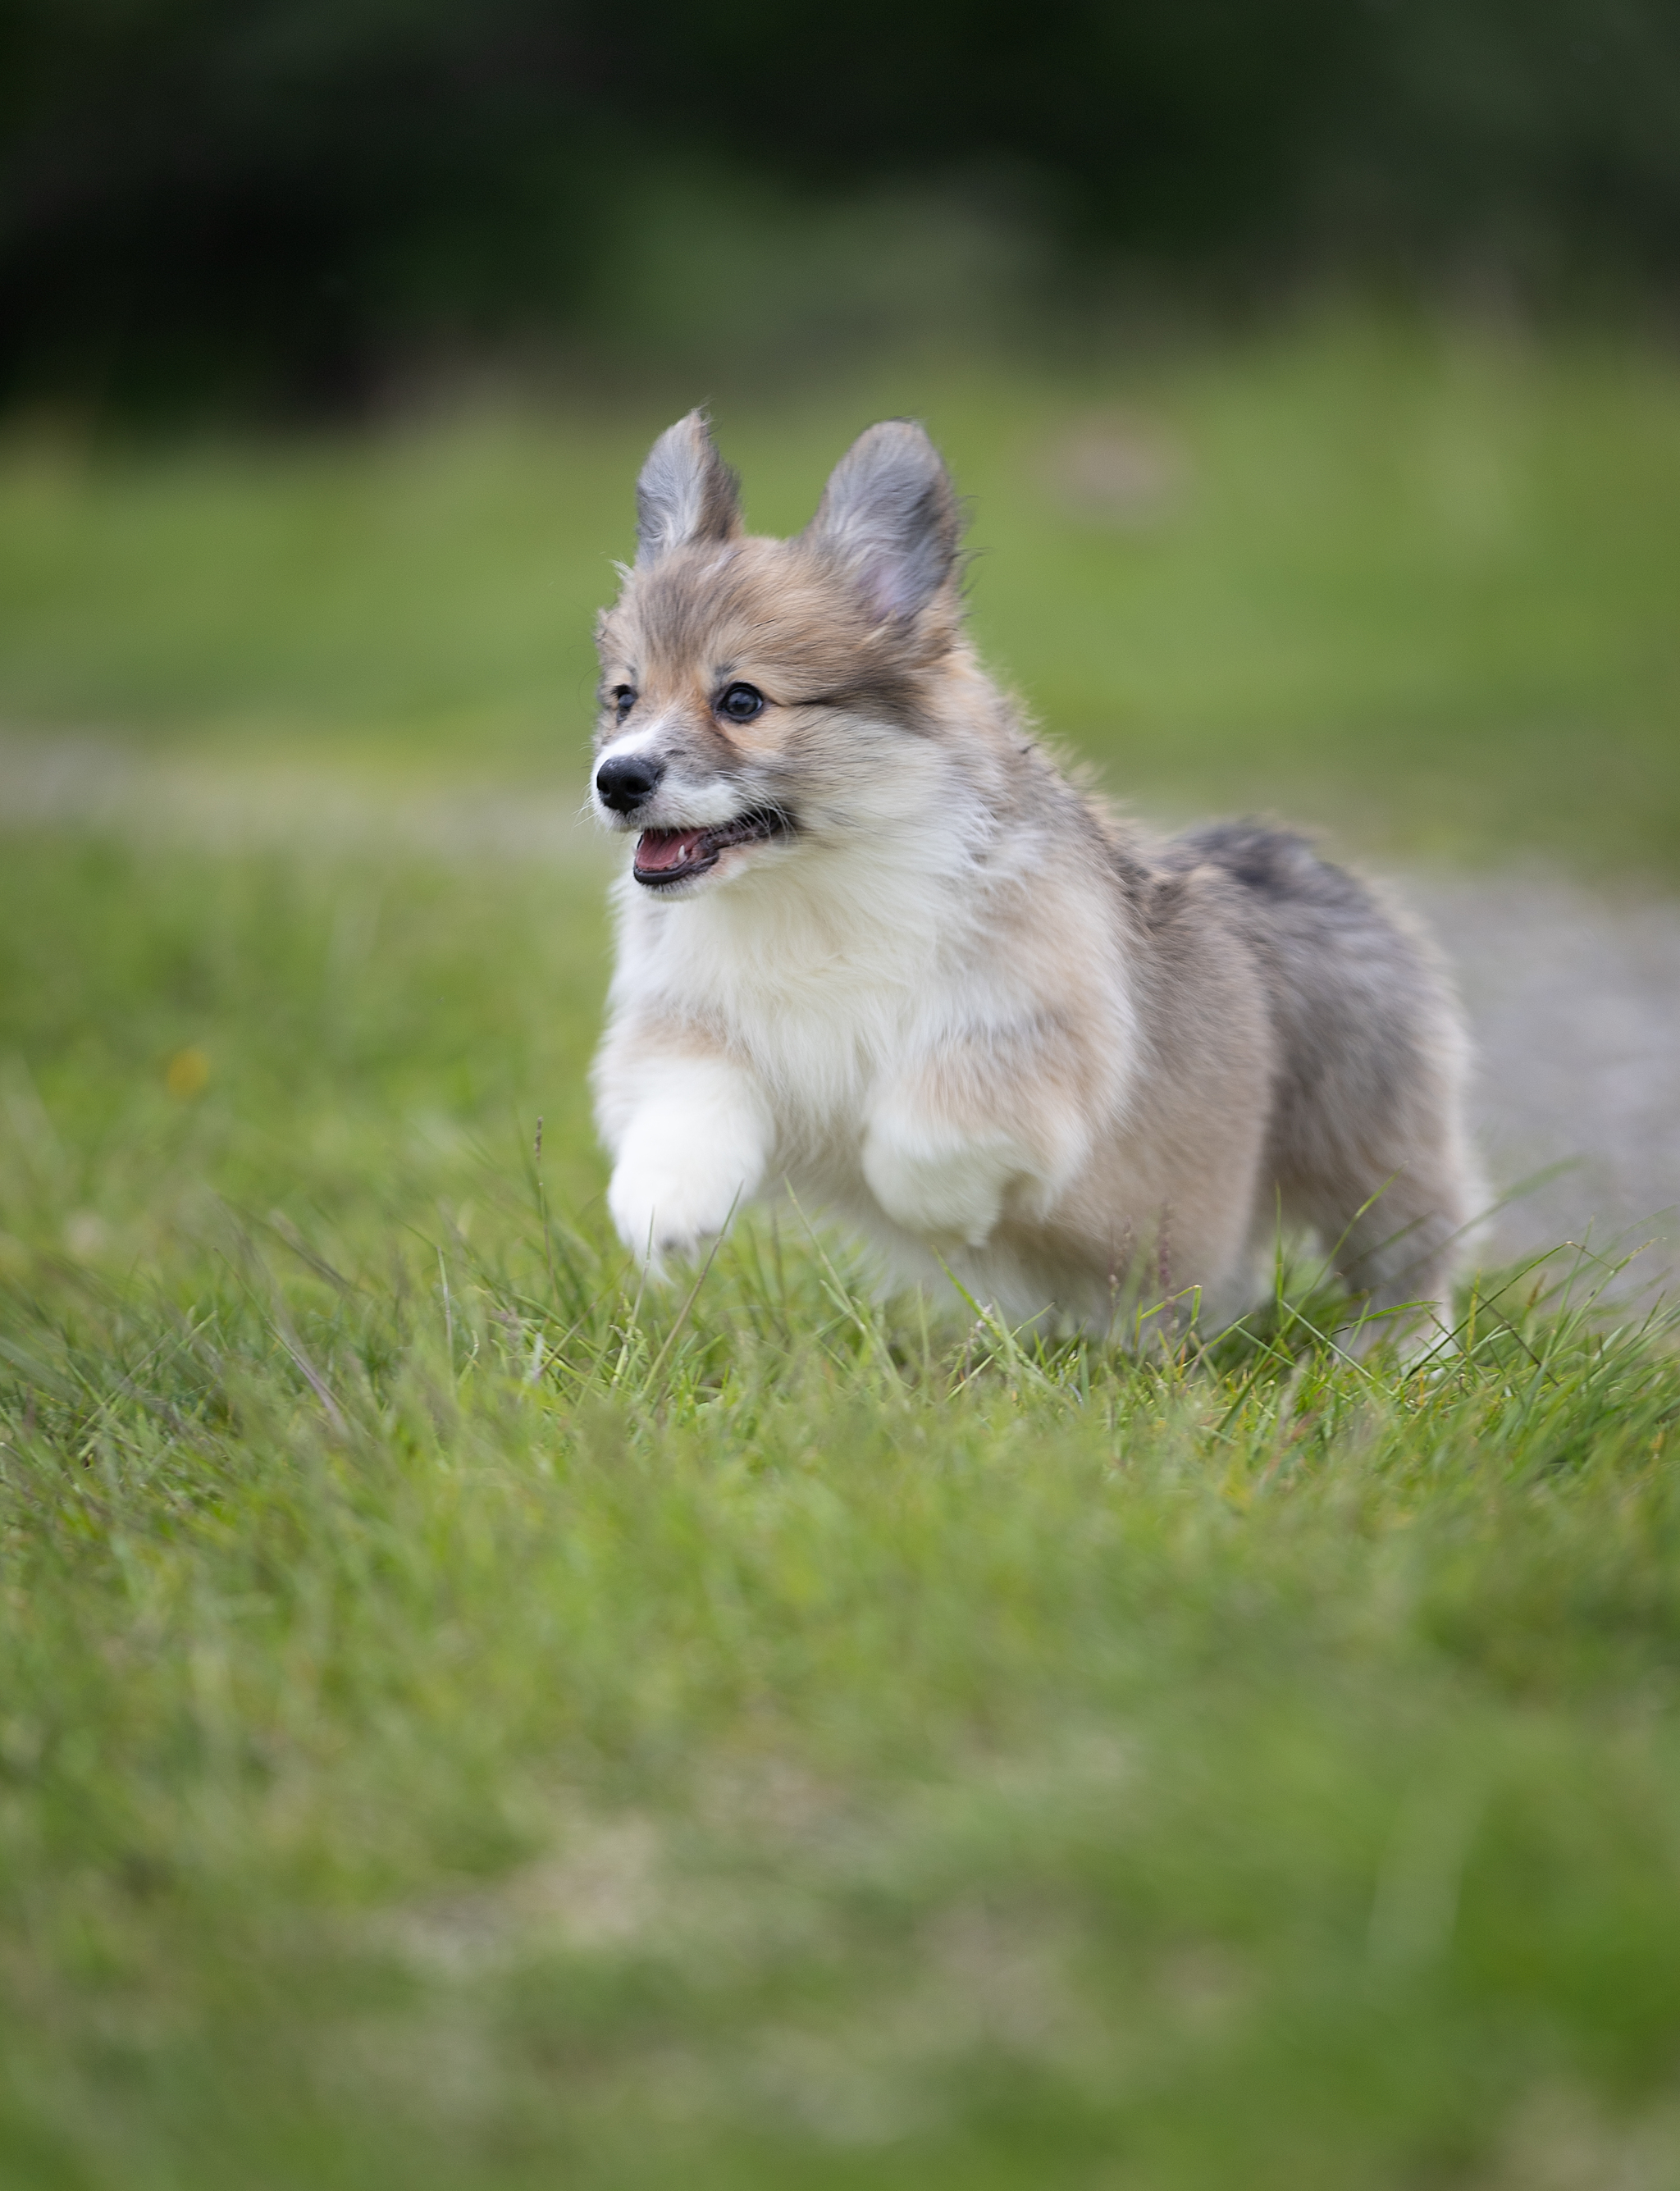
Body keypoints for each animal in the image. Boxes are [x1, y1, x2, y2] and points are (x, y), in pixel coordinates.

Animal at [587, 405, 1472, 1340]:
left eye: (742, 701)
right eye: (624, 697)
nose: (617, 779)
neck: (814, 883)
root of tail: (1293, 859)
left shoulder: (1027, 1036)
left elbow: (920, 1128)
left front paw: (943, 1213)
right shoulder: (694, 1023)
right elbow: (684, 1109)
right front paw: (663, 1209)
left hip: (1365, 1143)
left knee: (1411, 1249)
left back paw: (1403, 1350)